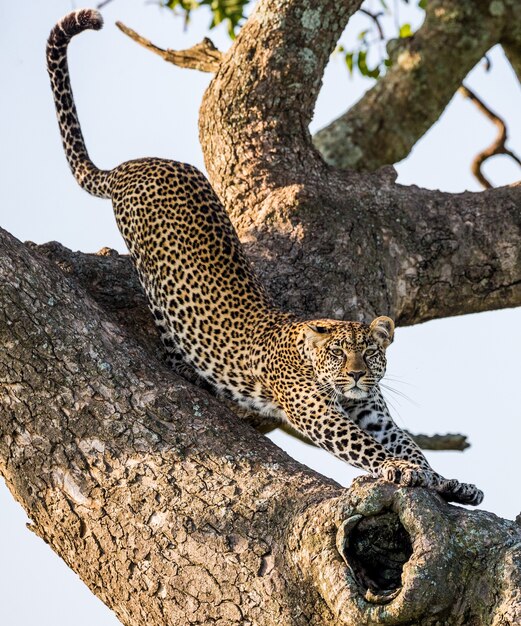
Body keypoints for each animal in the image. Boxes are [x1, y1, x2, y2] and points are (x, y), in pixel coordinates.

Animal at [46, 9, 482, 504]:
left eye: (370, 353)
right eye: (338, 353)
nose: (355, 375)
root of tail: (136, 166)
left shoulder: (374, 410)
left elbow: (407, 443)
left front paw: (446, 480)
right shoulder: (319, 412)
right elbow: (368, 448)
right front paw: (400, 469)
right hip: (156, 287)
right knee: (169, 336)